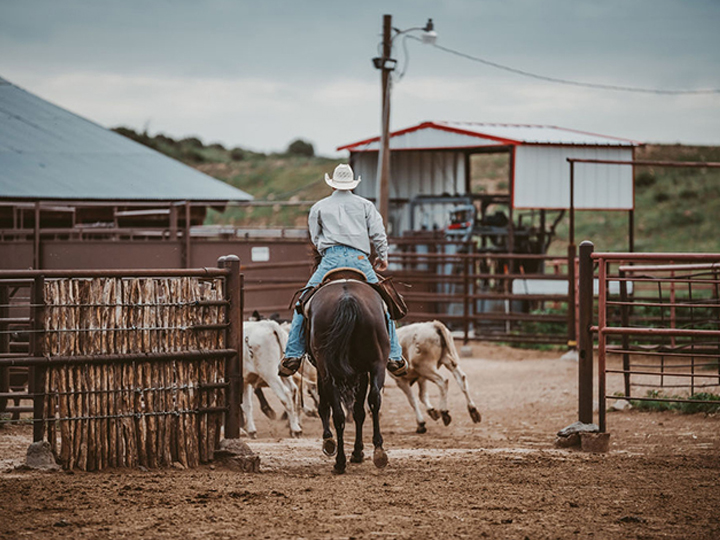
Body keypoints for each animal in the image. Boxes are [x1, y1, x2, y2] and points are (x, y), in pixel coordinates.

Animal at [306, 274, 390, 472]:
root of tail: (347, 299)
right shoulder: (362, 372)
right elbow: (359, 411)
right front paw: (357, 452)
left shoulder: (322, 372)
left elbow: (324, 405)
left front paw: (329, 441)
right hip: (377, 364)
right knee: (373, 399)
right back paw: (378, 452)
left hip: (328, 371)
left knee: (338, 412)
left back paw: (340, 461)